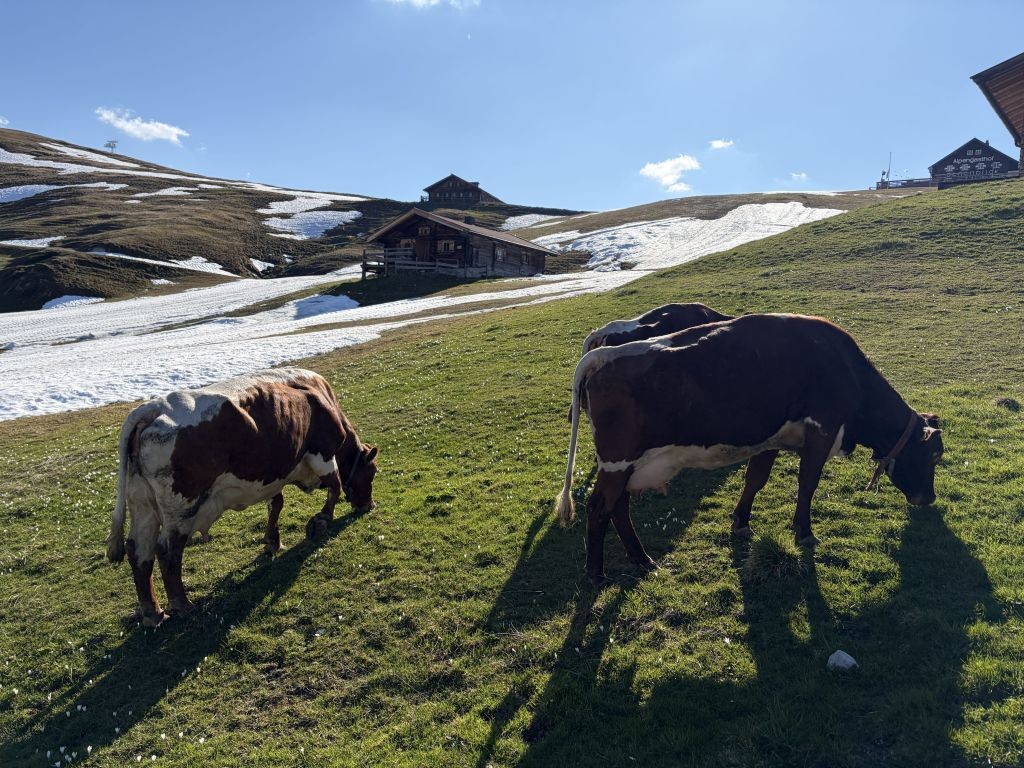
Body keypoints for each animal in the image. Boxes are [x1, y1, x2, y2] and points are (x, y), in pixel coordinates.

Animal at [106, 368, 378, 627]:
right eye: (373, 471)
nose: (370, 504)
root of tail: (154, 408)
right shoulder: (323, 454)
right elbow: (335, 486)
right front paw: (321, 521)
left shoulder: (274, 476)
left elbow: (276, 504)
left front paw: (273, 541)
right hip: (181, 508)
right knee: (167, 551)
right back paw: (183, 606)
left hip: (143, 505)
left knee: (139, 552)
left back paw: (153, 613)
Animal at [555, 314, 944, 585]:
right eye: (934, 455)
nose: (928, 498)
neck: (846, 371)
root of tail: (604, 352)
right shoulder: (821, 431)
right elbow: (807, 485)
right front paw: (804, 532)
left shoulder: (769, 439)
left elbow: (755, 479)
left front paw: (741, 521)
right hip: (618, 461)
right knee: (599, 508)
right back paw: (596, 574)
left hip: (627, 466)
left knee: (618, 508)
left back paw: (641, 559)